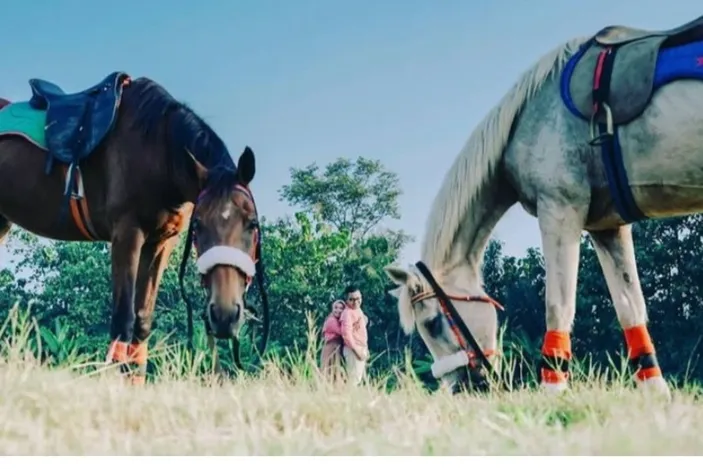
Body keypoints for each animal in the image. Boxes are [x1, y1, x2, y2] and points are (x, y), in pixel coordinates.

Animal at [0, 73, 270, 380]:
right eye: (199, 227)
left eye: (252, 224)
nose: (224, 315)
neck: (158, 150)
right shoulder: (127, 235)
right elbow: (123, 319)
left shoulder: (161, 242)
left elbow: (142, 320)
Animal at [384, 14, 703, 396]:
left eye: (432, 323)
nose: (458, 386)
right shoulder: (609, 226)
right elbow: (631, 308)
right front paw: (655, 392)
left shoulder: (560, 208)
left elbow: (558, 305)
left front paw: (553, 389)